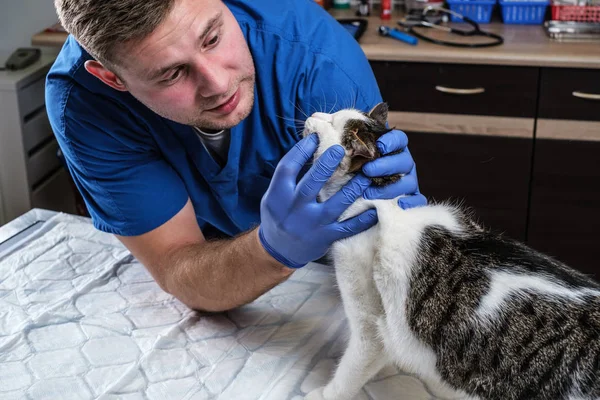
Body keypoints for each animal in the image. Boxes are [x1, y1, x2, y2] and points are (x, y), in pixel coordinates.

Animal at [302, 103, 600, 400]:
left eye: (331, 122)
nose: (314, 115)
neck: (383, 199)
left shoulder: (370, 322)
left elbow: (351, 370)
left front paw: (322, 393)